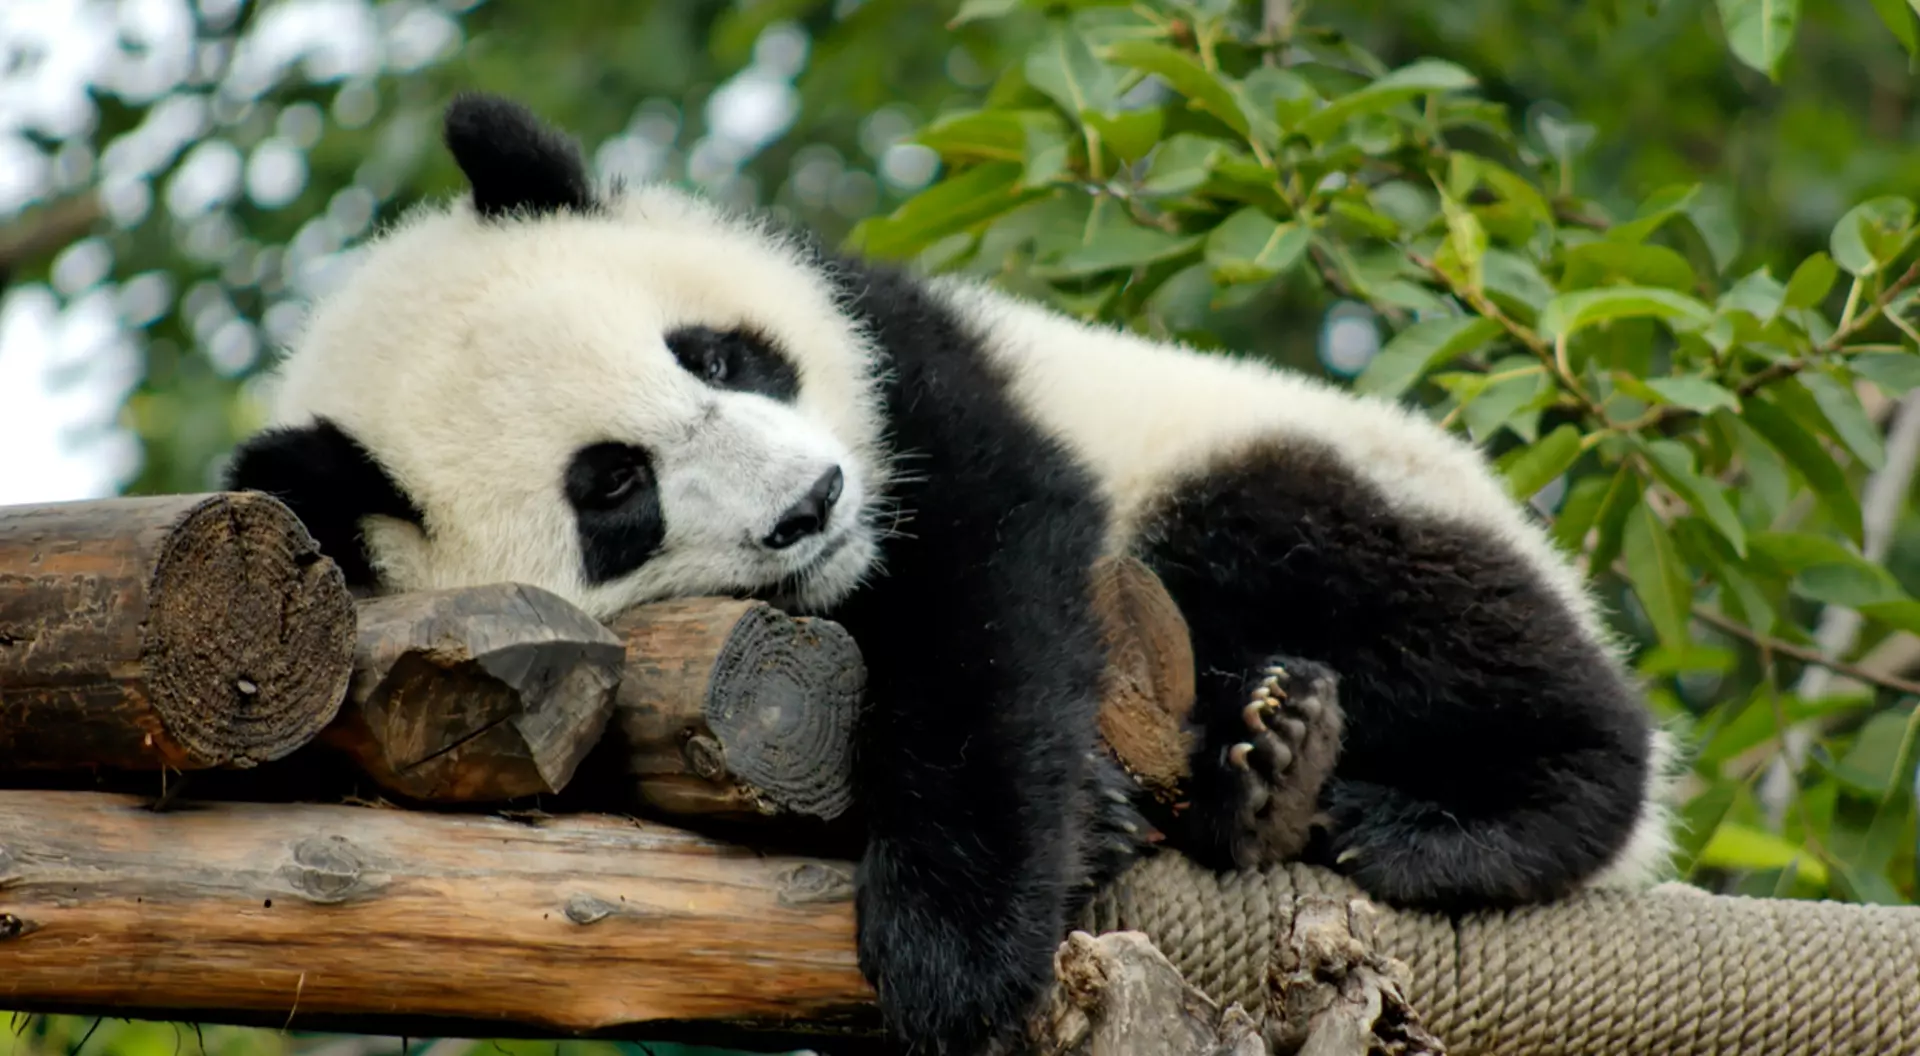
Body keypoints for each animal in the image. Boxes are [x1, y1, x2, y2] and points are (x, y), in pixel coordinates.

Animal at [226, 93, 1677, 1054]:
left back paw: (1441, 808)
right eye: (615, 488)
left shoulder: (907, 367)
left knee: (1354, 569)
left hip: (1296, 467)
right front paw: (1078, 838)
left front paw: (956, 943)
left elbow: (993, 593)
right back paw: (1265, 783)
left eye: (717, 355)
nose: (813, 503)